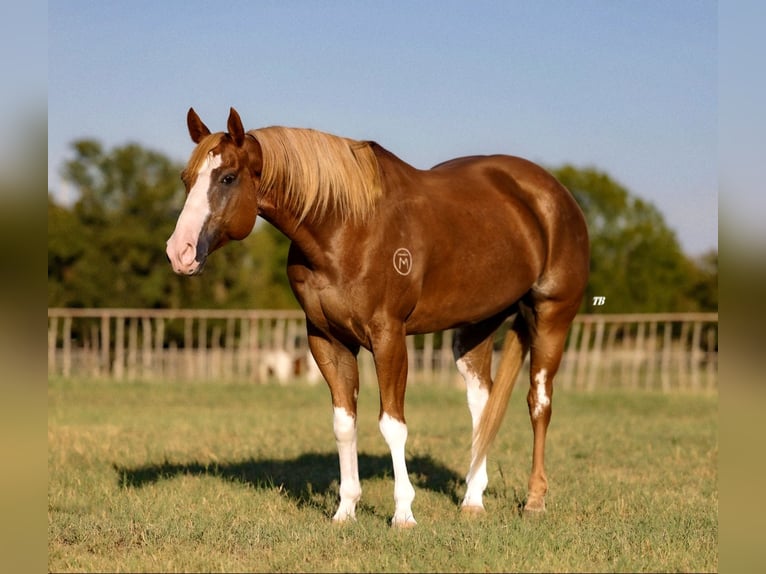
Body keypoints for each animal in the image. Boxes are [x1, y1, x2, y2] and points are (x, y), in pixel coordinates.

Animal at [165, 107, 592, 528]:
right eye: (186, 178)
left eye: (227, 177)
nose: (179, 252)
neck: (345, 226)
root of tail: (555, 195)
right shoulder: (327, 340)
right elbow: (344, 424)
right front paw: (345, 510)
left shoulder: (388, 337)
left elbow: (392, 424)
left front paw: (403, 514)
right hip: (477, 325)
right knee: (482, 403)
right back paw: (473, 499)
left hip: (552, 316)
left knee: (539, 401)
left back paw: (534, 500)